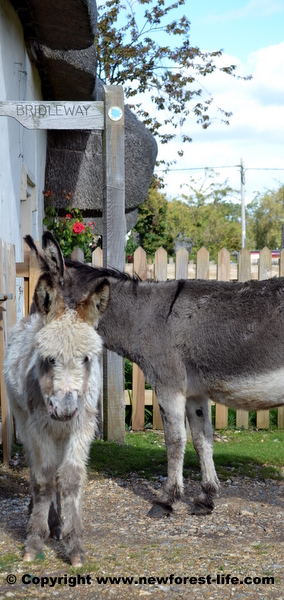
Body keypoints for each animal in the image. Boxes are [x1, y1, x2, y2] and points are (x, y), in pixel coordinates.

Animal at [4, 264, 108, 564]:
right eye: (49, 359)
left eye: (86, 359)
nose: (64, 410)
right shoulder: (40, 428)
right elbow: (44, 479)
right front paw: (35, 539)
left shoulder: (82, 426)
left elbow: (70, 479)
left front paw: (74, 545)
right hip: (24, 423)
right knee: (36, 468)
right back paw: (45, 519)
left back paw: (59, 523)